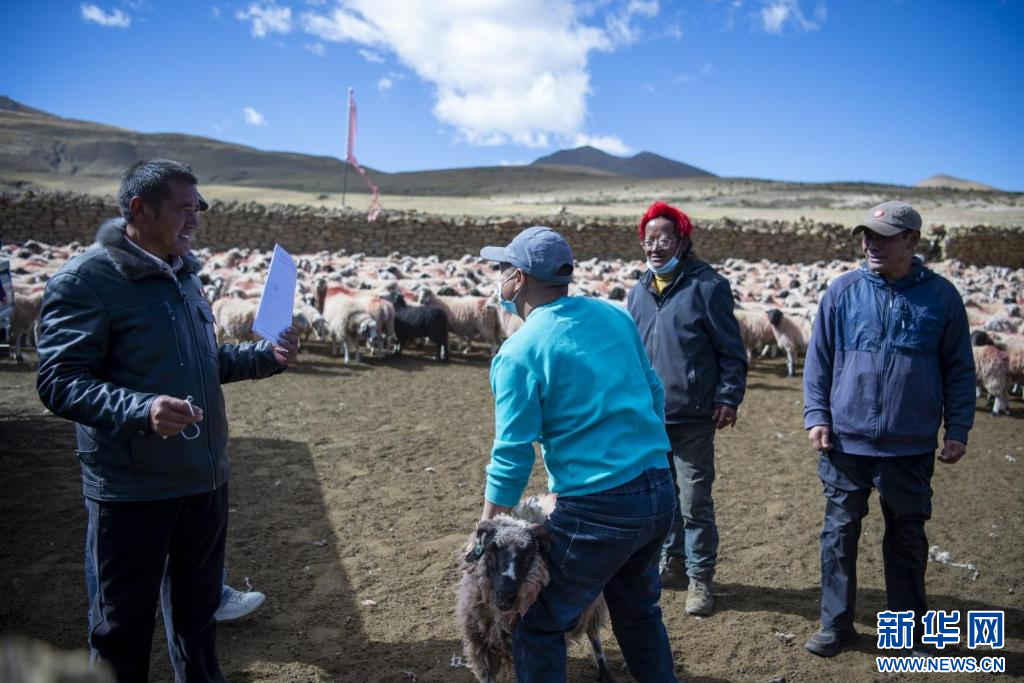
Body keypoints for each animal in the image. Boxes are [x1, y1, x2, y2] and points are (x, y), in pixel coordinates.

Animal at [455, 499, 614, 683]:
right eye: (490, 552)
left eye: (529, 555)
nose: (506, 597)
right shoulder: (481, 648)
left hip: (595, 605)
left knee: (594, 635)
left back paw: (605, 672)